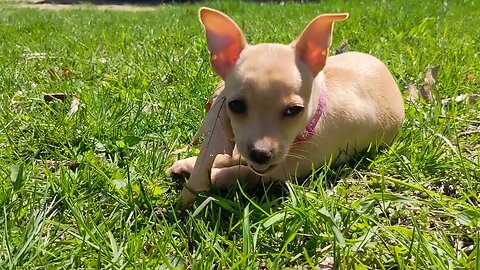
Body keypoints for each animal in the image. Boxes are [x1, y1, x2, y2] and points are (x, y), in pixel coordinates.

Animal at [167, 7, 404, 208]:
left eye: (294, 110)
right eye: (236, 105)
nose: (260, 154)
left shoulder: (283, 170)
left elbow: (240, 172)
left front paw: (206, 180)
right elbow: (230, 155)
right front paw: (188, 164)